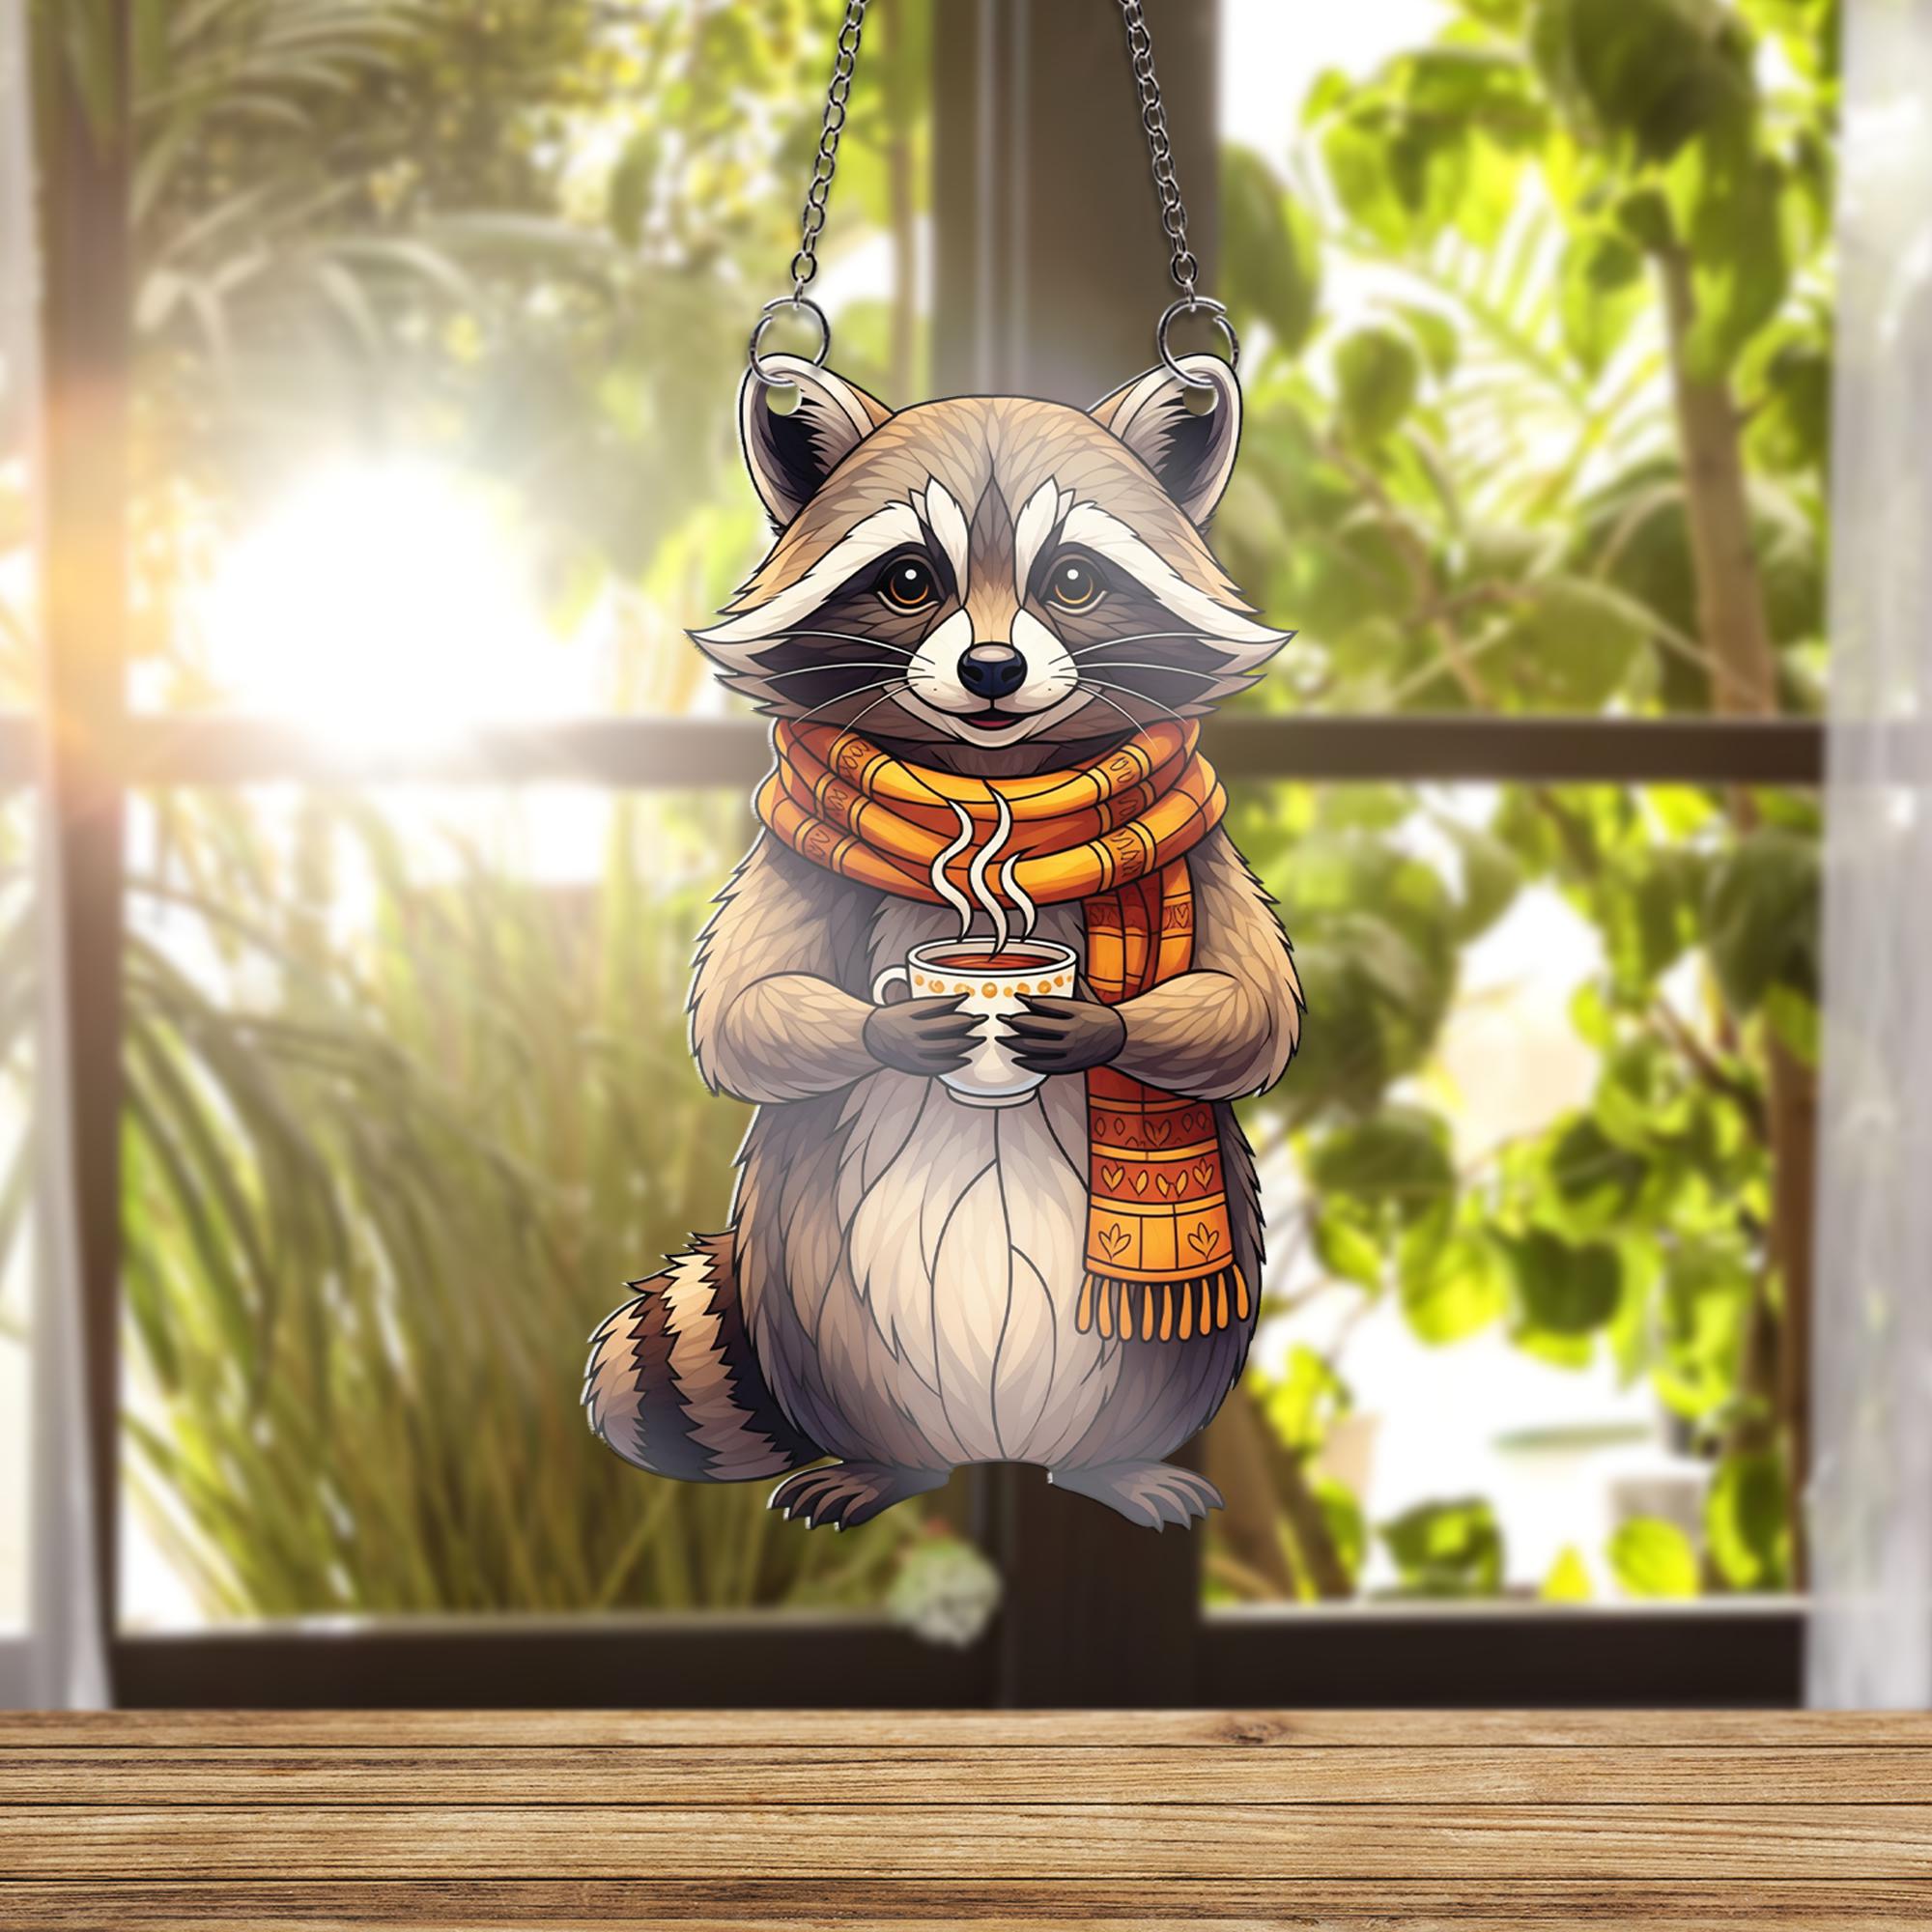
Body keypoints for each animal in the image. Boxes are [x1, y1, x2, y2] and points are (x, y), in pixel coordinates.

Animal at [584, 351, 1302, 1531]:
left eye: (1072, 581)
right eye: (911, 579)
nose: (993, 669)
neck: (992, 795)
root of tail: (992, 1445)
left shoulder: (1200, 848)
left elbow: (1255, 1005)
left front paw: (1094, 1025)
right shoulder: (795, 849)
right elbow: (739, 1006)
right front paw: (900, 1030)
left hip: (1176, 1333)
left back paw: (1115, 1463)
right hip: (812, 1305)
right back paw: (883, 1465)